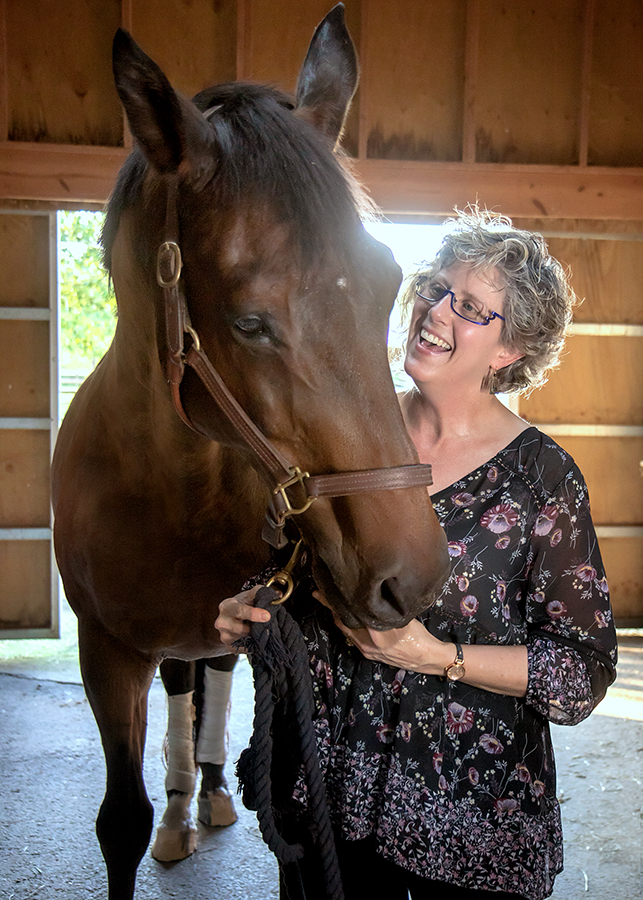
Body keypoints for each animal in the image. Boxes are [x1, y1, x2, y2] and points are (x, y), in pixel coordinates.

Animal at [52, 8, 450, 900]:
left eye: (386, 283)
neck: (171, 491)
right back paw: (179, 811)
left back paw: (207, 794)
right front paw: (156, 816)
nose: (412, 576)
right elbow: (118, 821)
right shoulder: (106, 651)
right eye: (247, 321)